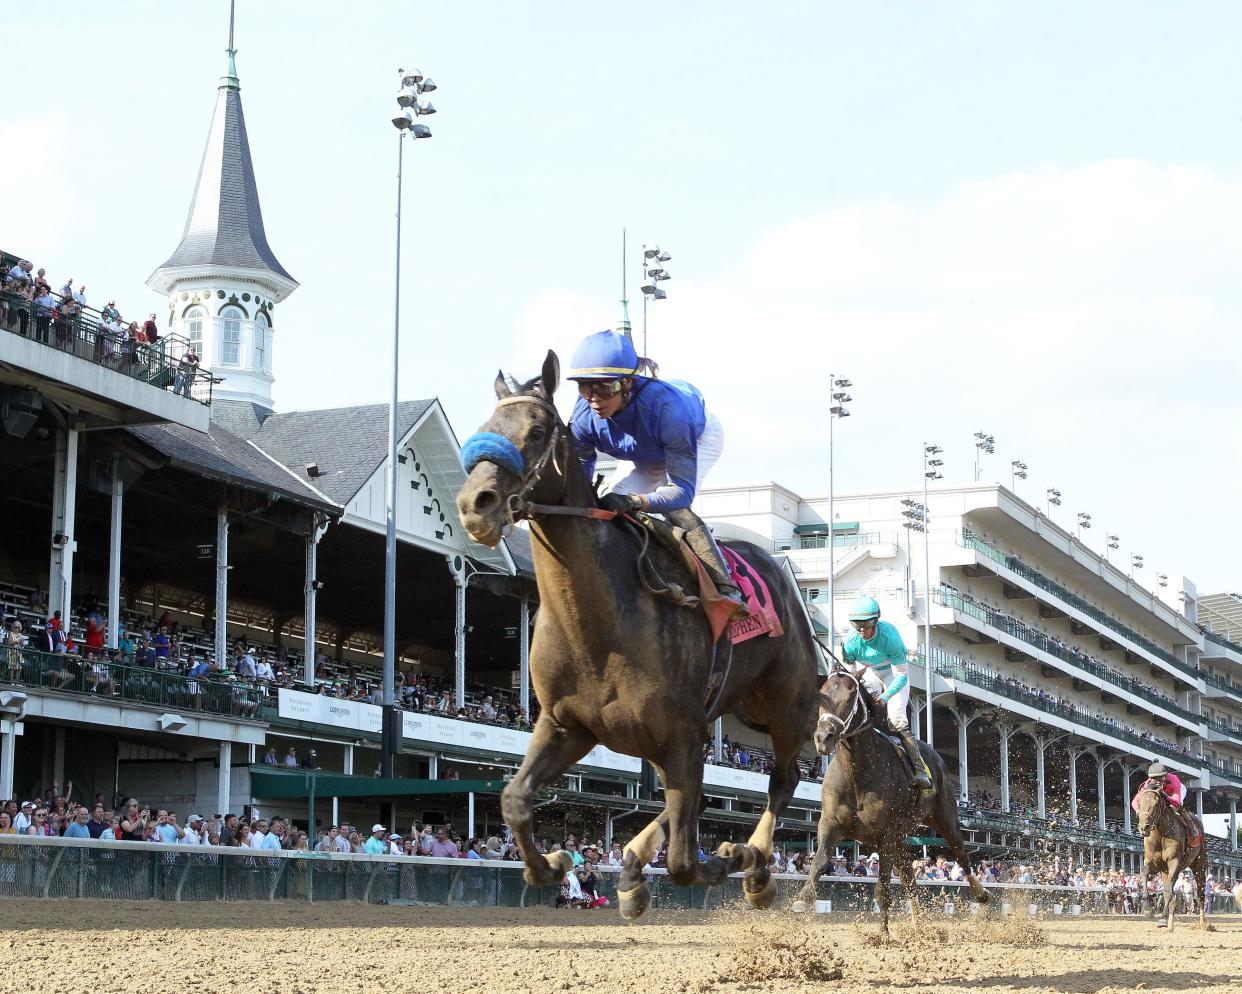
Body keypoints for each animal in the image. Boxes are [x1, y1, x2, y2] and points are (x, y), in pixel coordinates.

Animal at [457, 352, 824, 919]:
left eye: (537, 431)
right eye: (486, 426)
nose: (476, 503)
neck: (598, 627)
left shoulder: (683, 732)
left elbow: (685, 861)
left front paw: (733, 856)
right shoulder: (566, 724)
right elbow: (514, 798)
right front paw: (551, 865)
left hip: (787, 709)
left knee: (781, 782)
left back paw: (756, 865)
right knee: (684, 799)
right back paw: (632, 867)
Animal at [789, 665, 983, 934]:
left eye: (849, 699)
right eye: (822, 696)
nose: (823, 737)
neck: (857, 773)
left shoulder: (886, 834)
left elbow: (883, 888)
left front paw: (883, 933)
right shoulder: (830, 823)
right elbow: (819, 862)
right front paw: (802, 900)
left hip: (943, 819)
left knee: (961, 855)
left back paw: (982, 894)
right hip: (901, 839)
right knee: (910, 878)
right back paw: (919, 924)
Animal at [1137, 785, 1202, 934]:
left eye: (1156, 804)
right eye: (1139, 803)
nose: (1144, 827)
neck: (1161, 833)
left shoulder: (1174, 861)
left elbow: (1168, 891)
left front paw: (1165, 920)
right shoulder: (1152, 861)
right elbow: (1144, 872)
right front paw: (1148, 908)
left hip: (1199, 862)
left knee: (1200, 890)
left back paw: (1203, 922)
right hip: (1164, 871)